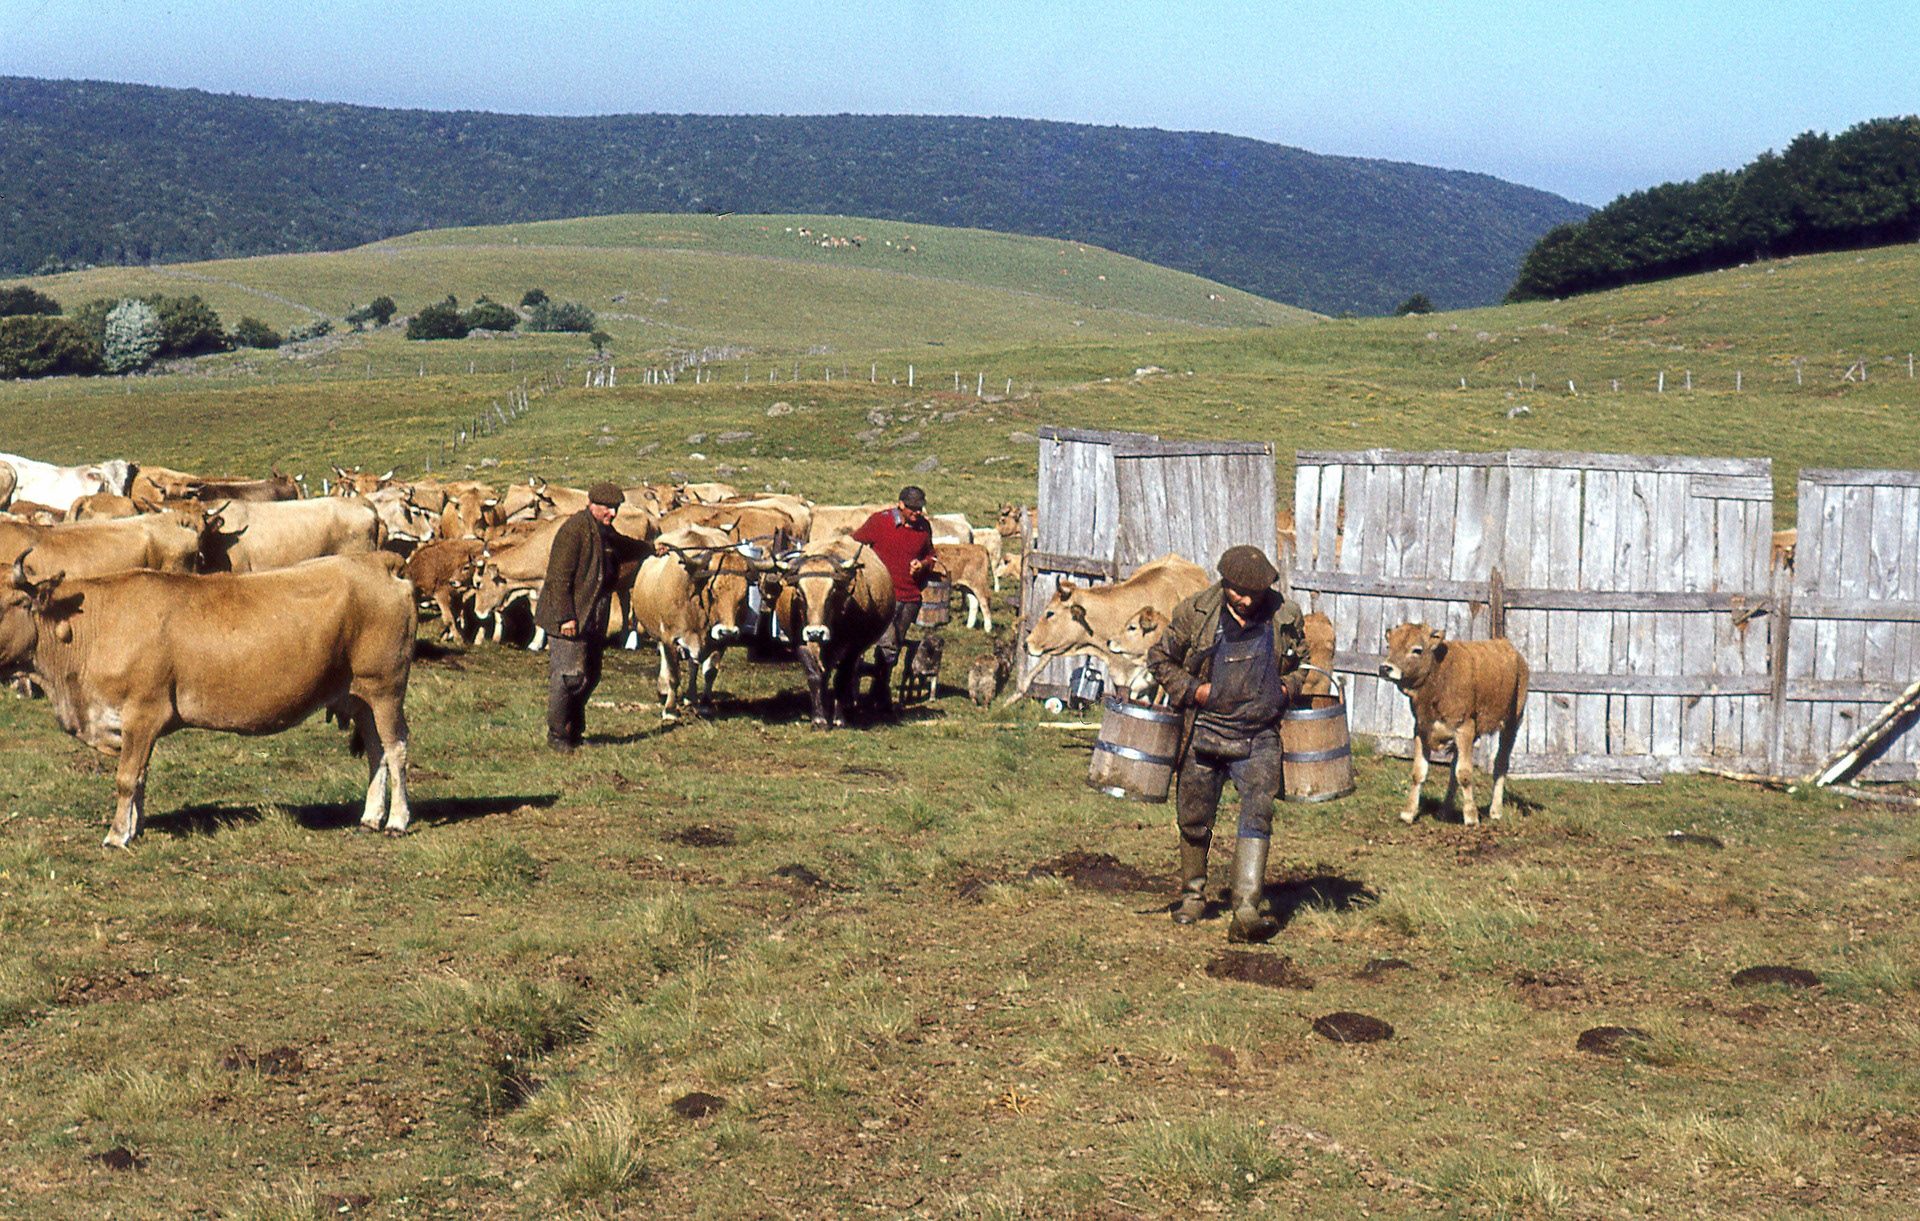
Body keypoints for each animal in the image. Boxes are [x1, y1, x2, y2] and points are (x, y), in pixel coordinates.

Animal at [0, 551, 415, 847]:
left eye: (7, 604)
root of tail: (378, 562)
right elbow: (141, 776)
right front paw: (135, 827)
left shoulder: (143, 712)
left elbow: (127, 777)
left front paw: (117, 835)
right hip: (361, 697)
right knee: (377, 750)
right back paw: (370, 817)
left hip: (386, 687)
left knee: (396, 749)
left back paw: (397, 820)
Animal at [628, 525, 756, 717]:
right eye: (712, 592)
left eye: (743, 595)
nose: (727, 631)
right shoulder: (670, 637)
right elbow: (674, 674)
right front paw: (670, 709)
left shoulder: (720, 643)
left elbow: (710, 672)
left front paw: (705, 704)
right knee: (664, 656)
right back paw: (663, 689)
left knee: (693, 664)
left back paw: (691, 697)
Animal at [768, 536, 895, 729]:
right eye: (799, 592)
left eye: (832, 591)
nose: (815, 633)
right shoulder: (799, 642)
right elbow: (815, 675)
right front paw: (818, 719)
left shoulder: (852, 646)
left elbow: (842, 678)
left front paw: (839, 718)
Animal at [1379, 622, 1529, 826]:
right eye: (1389, 646)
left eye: (1417, 649)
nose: (1385, 668)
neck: (1439, 678)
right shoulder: (1422, 730)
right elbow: (1419, 772)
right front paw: (1408, 813)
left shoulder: (1464, 729)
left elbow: (1465, 774)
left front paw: (1471, 817)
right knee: (1453, 768)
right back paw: (1445, 810)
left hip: (1512, 723)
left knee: (1500, 764)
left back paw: (1496, 810)